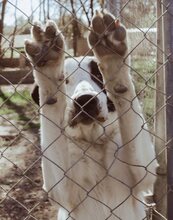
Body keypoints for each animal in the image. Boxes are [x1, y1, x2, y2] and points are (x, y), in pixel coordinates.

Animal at [24, 10, 158, 220]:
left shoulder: (144, 172)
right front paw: (48, 66)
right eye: (65, 80)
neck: (93, 143)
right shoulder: (61, 189)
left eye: (98, 76)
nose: (85, 100)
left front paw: (112, 57)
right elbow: (51, 104)